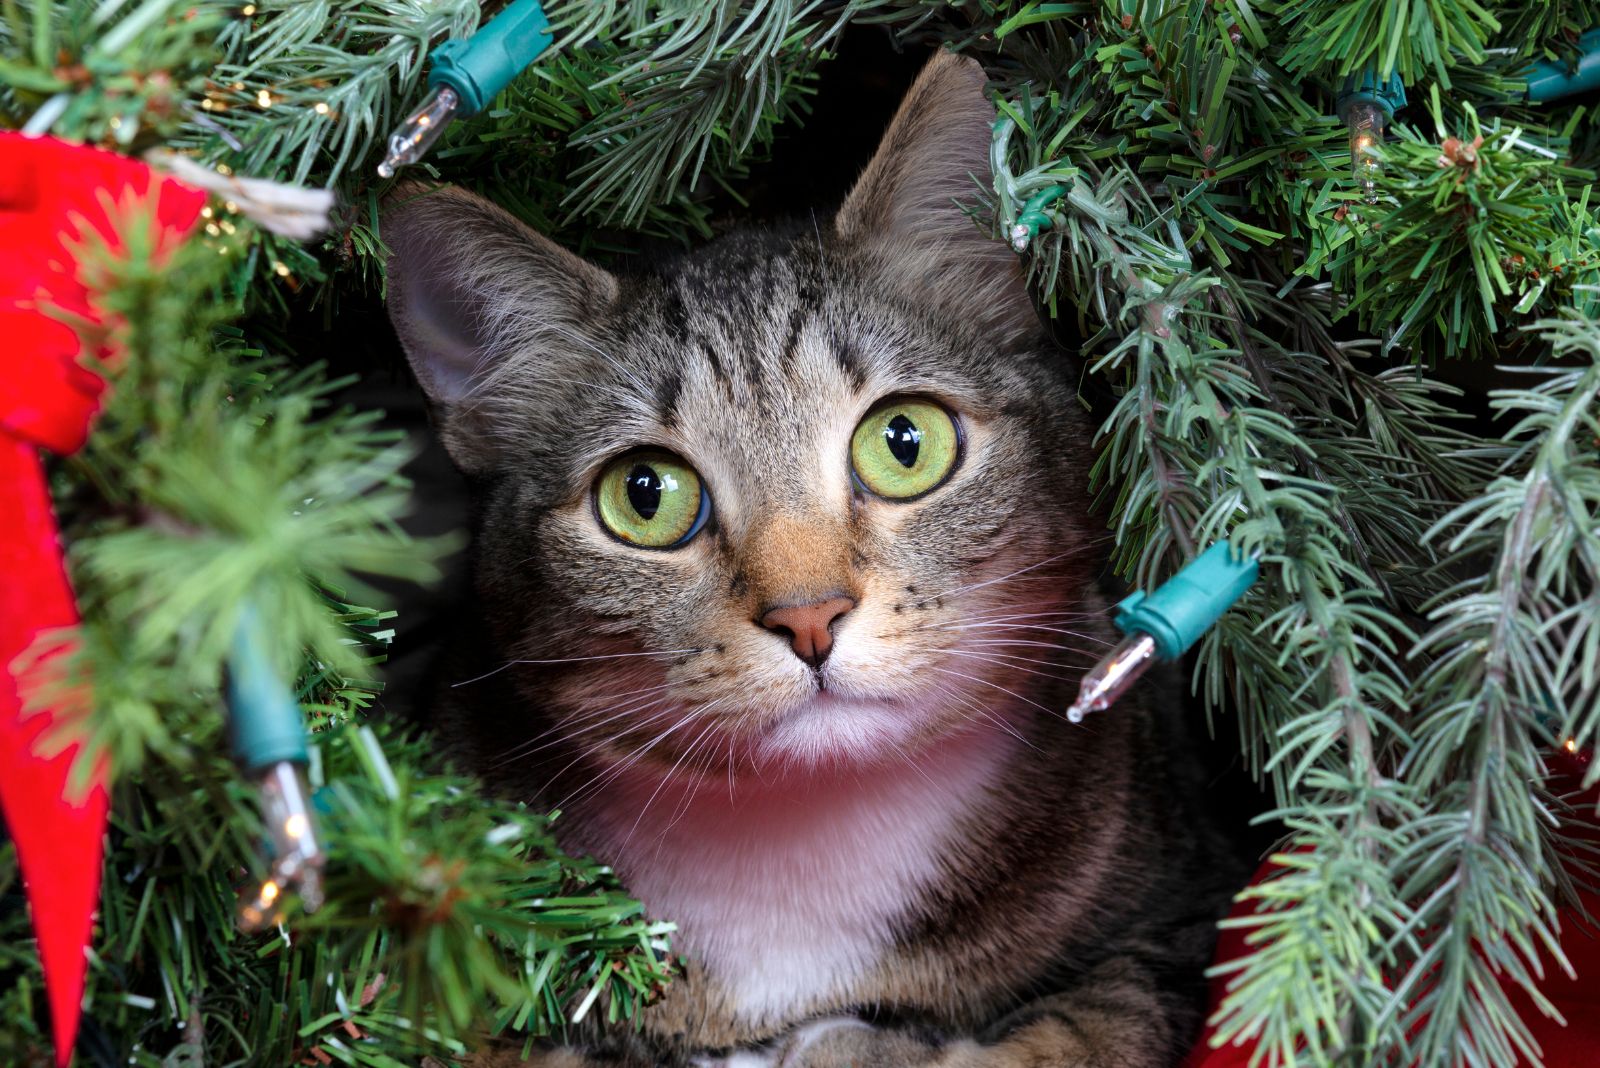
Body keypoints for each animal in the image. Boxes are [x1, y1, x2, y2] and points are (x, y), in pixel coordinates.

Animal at [380, 47, 1241, 1068]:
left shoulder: (1179, 912)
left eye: (905, 443)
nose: (808, 614)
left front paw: (859, 1045)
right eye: (645, 496)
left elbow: (1087, 1028)